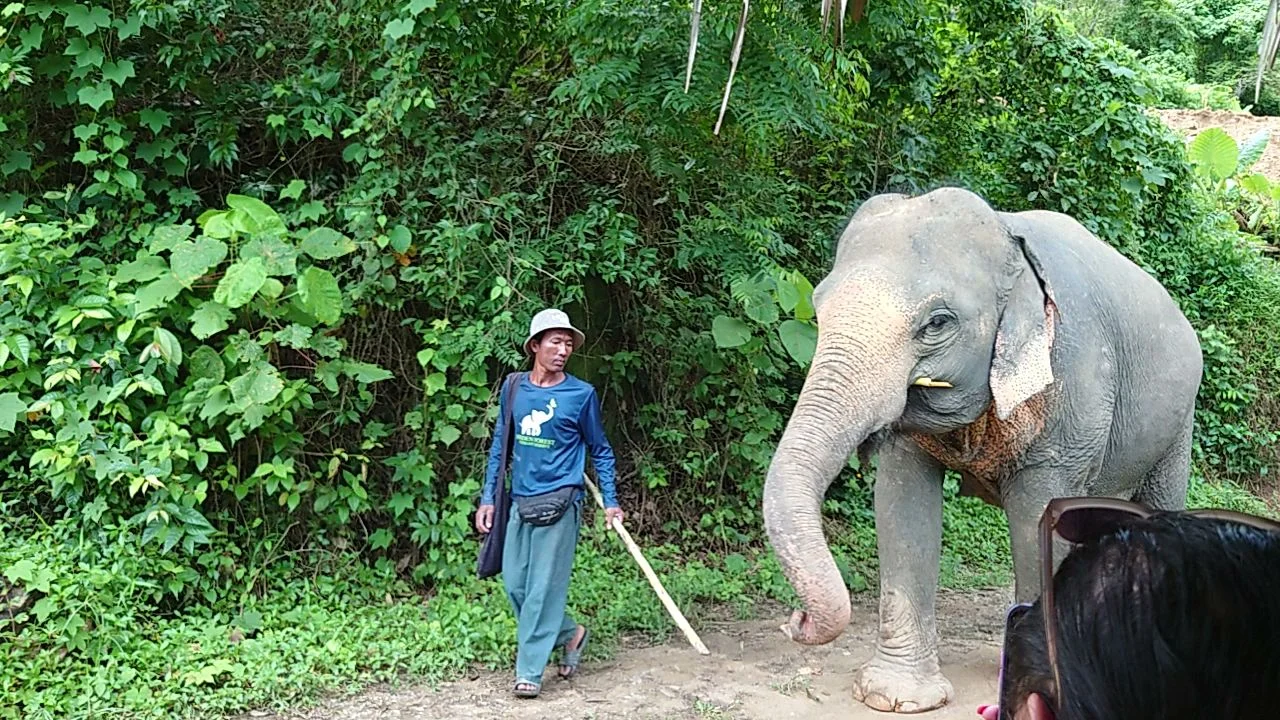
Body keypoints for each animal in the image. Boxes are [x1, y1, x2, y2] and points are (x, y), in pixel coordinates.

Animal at [761, 186, 1203, 713]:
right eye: (817, 305)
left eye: (937, 323)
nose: (795, 620)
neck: (1009, 239)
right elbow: (902, 506)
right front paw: (896, 697)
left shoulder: (1071, 390)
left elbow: (1037, 518)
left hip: (1178, 422)